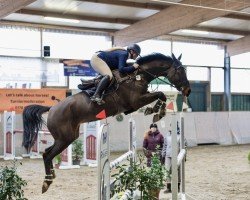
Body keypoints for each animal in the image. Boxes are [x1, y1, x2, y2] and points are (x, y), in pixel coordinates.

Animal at [22, 52, 190, 193]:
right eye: (180, 71)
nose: (188, 90)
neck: (137, 76)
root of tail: (52, 108)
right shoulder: (136, 102)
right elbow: (161, 94)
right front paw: (157, 112)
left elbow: (160, 96)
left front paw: (155, 111)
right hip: (64, 138)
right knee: (47, 154)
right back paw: (46, 182)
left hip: (68, 136)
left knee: (47, 152)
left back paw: (50, 178)